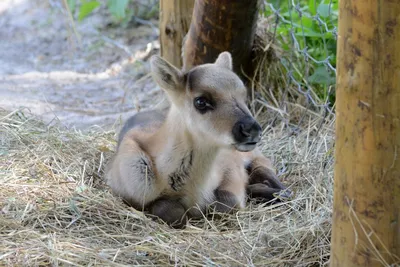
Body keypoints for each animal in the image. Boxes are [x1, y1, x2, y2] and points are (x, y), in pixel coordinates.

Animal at [104, 52, 290, 228]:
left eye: (243, 95)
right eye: (201, 101)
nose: (251, 129)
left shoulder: (231, 170)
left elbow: (224, 202)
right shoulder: (130, 192)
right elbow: (170, 211)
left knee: (262, 167)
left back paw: (283, 193)